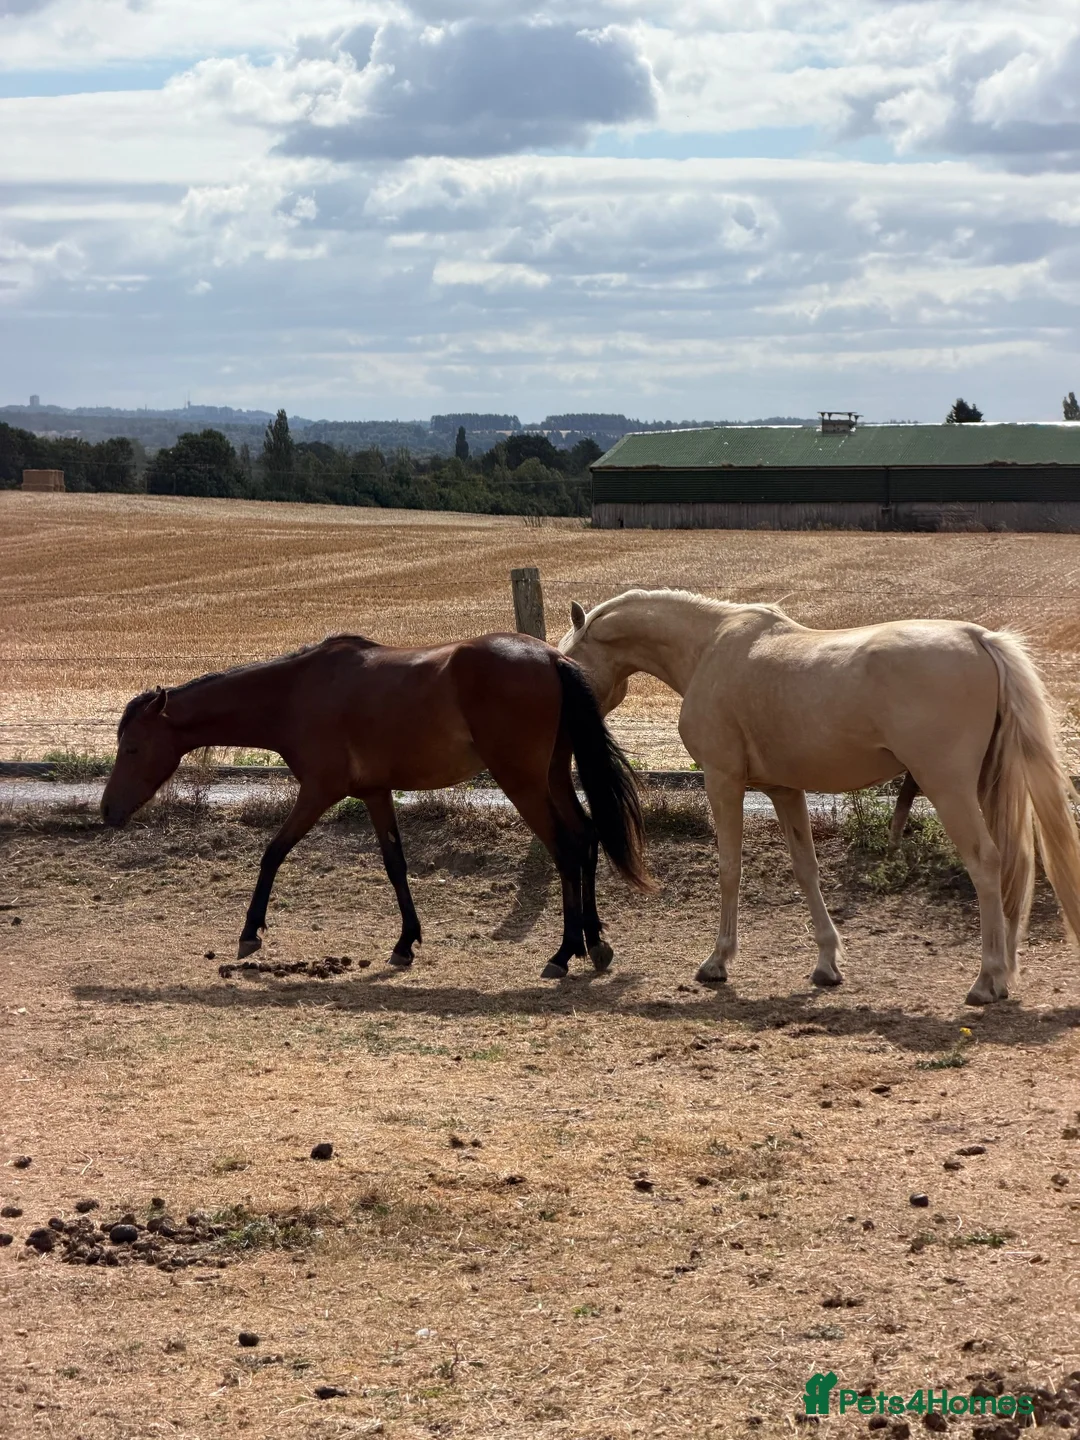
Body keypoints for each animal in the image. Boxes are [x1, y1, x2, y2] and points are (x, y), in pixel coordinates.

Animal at [101, 632, 652, 979]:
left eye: (132, 748)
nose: (108, 811)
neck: (296, 692)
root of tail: (551, 659)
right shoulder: (375, 794)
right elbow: (395, 864)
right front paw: (406, 943)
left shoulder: (318, 791)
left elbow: (273, 852)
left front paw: (250, 932)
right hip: (553, 776)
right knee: (585, 838)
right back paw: (595, 944)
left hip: (523, 783)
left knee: (565, 849)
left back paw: (564, 952)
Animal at [558, 588, 1080, 1006]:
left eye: (567, 664)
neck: (708, 647)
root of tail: (979, 638)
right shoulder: (785, 791)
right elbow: (806, 870)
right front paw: (827, 964)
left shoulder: (722, 781)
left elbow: (729, 869)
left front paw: (717, 961)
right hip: (983, 787)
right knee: (1012, 866)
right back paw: (1004, 977)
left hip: (948, 788)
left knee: (986, 863)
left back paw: (987, 980)